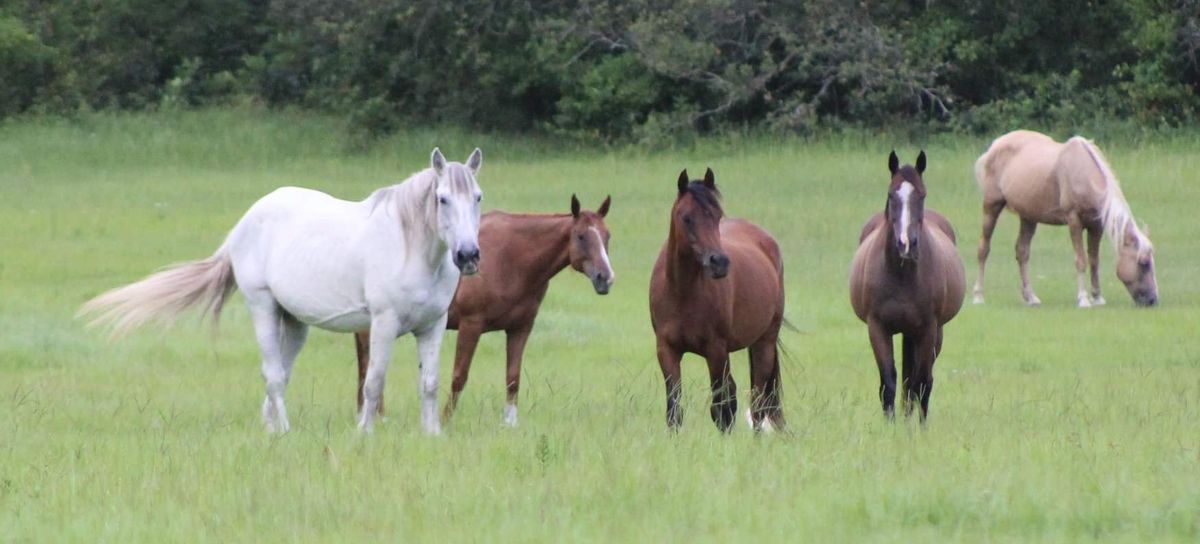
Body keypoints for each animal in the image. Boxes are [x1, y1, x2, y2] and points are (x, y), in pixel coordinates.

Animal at [78, 147, 487, 432]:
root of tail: (243, 224)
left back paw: (272, 428)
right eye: (442, 198)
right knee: (273, 376)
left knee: (281, 376)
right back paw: (284, 432)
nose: (468, 255)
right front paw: (365, 434)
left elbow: (429, 383)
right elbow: (374, 383)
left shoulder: (432, 326)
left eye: (478, 197)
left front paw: (432, 434)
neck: (410, 248)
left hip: (294, 322)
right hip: (262, 307)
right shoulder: (383, 324)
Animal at [350, 193, 614, 425]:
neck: (512, 259)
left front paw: (510, 423)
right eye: (581, 236)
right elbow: (459, 376)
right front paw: (445, 420)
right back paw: (377, 416)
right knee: (368, 366)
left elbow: (513, 378)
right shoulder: (471, 325)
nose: (605, 278)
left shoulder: (520, 328)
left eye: (607, 236)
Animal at [648, 166, 787, 429]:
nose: (719, 263)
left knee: (757, 405)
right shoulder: (667, 350)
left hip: (764, 343)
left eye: (717, 215)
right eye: (686, 218)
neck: (682, 291)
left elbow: (722, 409)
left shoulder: (716, 350)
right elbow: (674, 410)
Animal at [854, 151, 964, 420]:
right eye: (891, 195)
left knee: (918, 382)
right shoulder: (877, 328)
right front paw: (890, 426)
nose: (906, 244)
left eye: (921, 195)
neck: (901, 275)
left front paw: (918, 428)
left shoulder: (927, 329)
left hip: (931, 333)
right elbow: (889, 383)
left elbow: (921, 383)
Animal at [969, 127, 1156, 305]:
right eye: (1144, 263)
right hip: (991, 206)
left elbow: (1094, 260)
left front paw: (1098, 298)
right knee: (983, 249)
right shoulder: (1074, 221)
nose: (1153, 300)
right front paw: (1083, 299)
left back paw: (1031, 297)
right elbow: (1081, 260)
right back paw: (978, 296)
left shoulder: (1096, 226)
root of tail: (995, 145)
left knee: (1022, 252)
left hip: (1028, 217)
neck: (1083, 172)